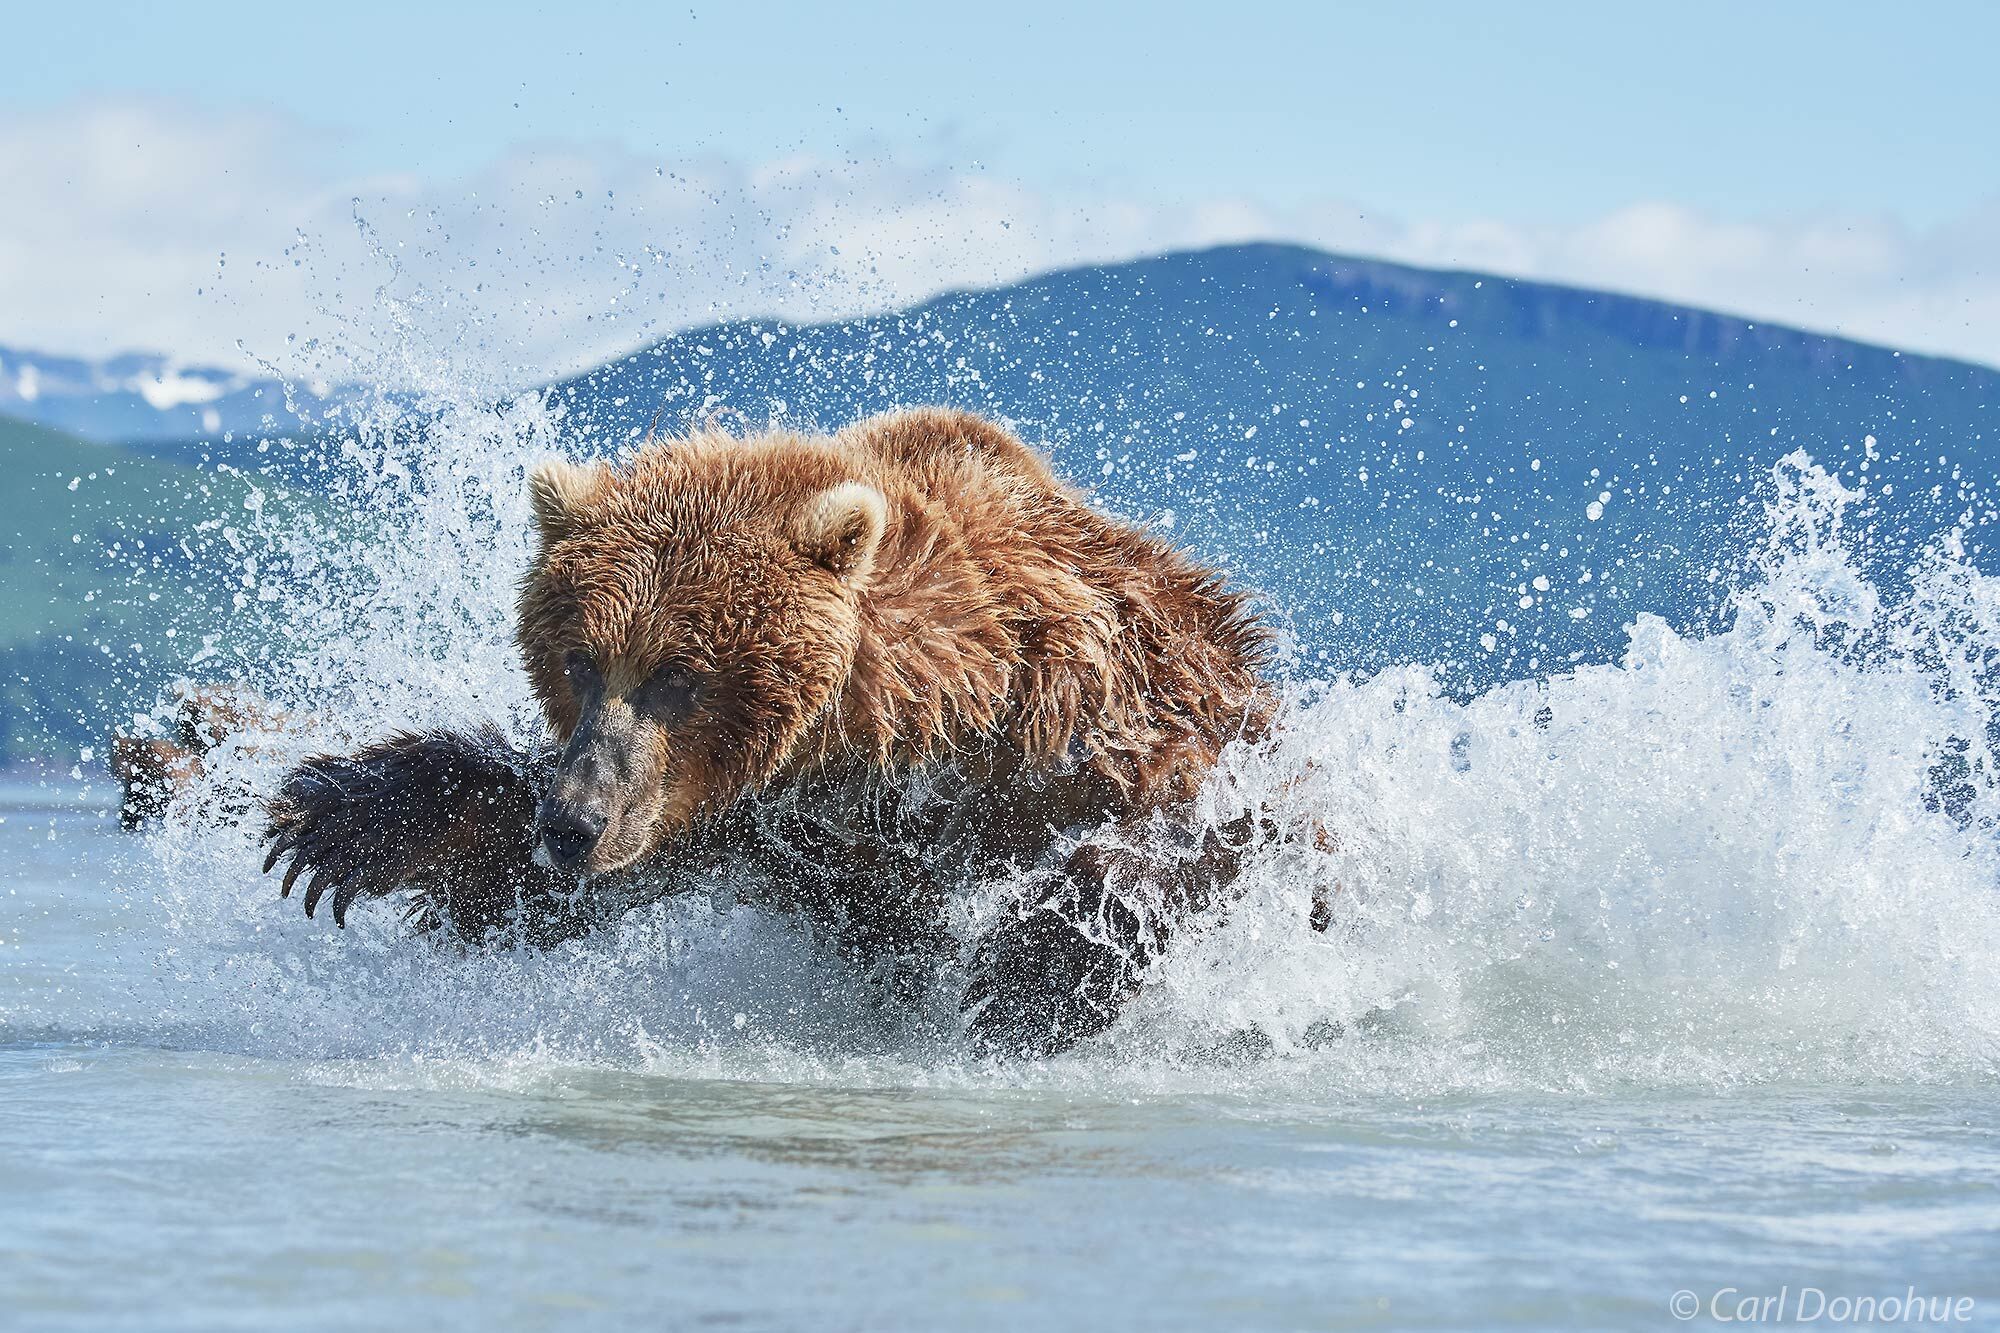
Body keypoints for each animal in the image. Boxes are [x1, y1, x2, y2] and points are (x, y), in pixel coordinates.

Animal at [258, 410, 1272, 1056]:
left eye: (678, 674)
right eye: (579, 659)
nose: (573, 823)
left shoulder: (1089, 706)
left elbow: (1209, 825)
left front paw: (1033, 972)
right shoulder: (743, 818)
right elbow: (529, 886)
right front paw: (349, 819)